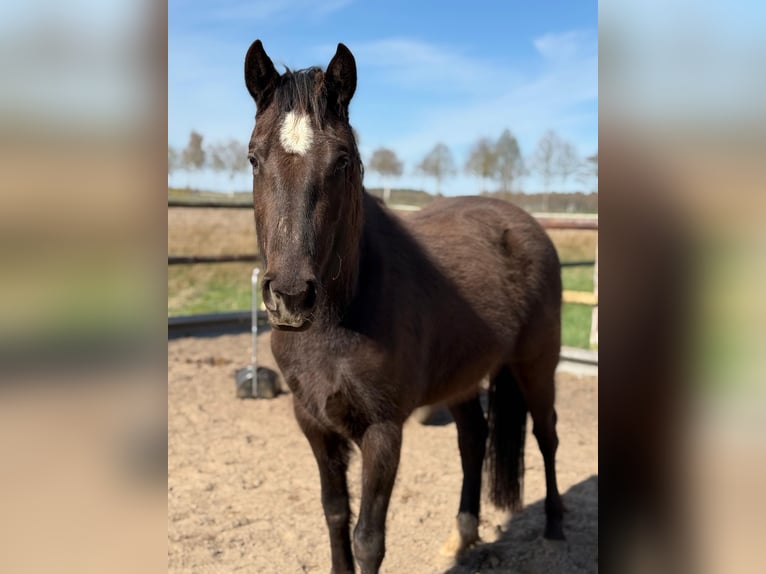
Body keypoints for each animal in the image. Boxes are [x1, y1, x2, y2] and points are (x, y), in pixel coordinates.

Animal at [244, 40, 565, 574]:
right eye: (253, 157)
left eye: (343, 161)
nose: (290, 296)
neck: (338, 321)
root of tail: (524, 224)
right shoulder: (313, 422)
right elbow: (335, 515)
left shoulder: (383, 432)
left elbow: (368, 538)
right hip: (463, 376)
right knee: (473, 440)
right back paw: (461, 537)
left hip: (537, 365)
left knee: (546, 434)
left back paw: (556, 528)